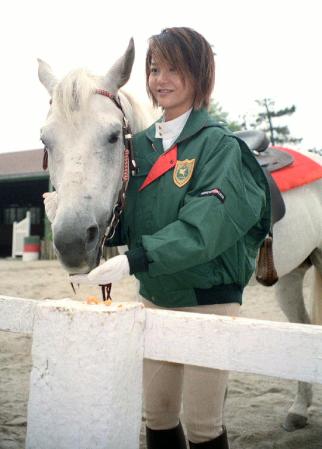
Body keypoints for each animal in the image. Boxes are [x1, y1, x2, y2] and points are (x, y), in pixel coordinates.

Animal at [37, 39, 322, 430]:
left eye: (112, 136)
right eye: (46, 140)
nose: (72, 242)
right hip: (290, 276)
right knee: (301, 326)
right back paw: (298, 409)